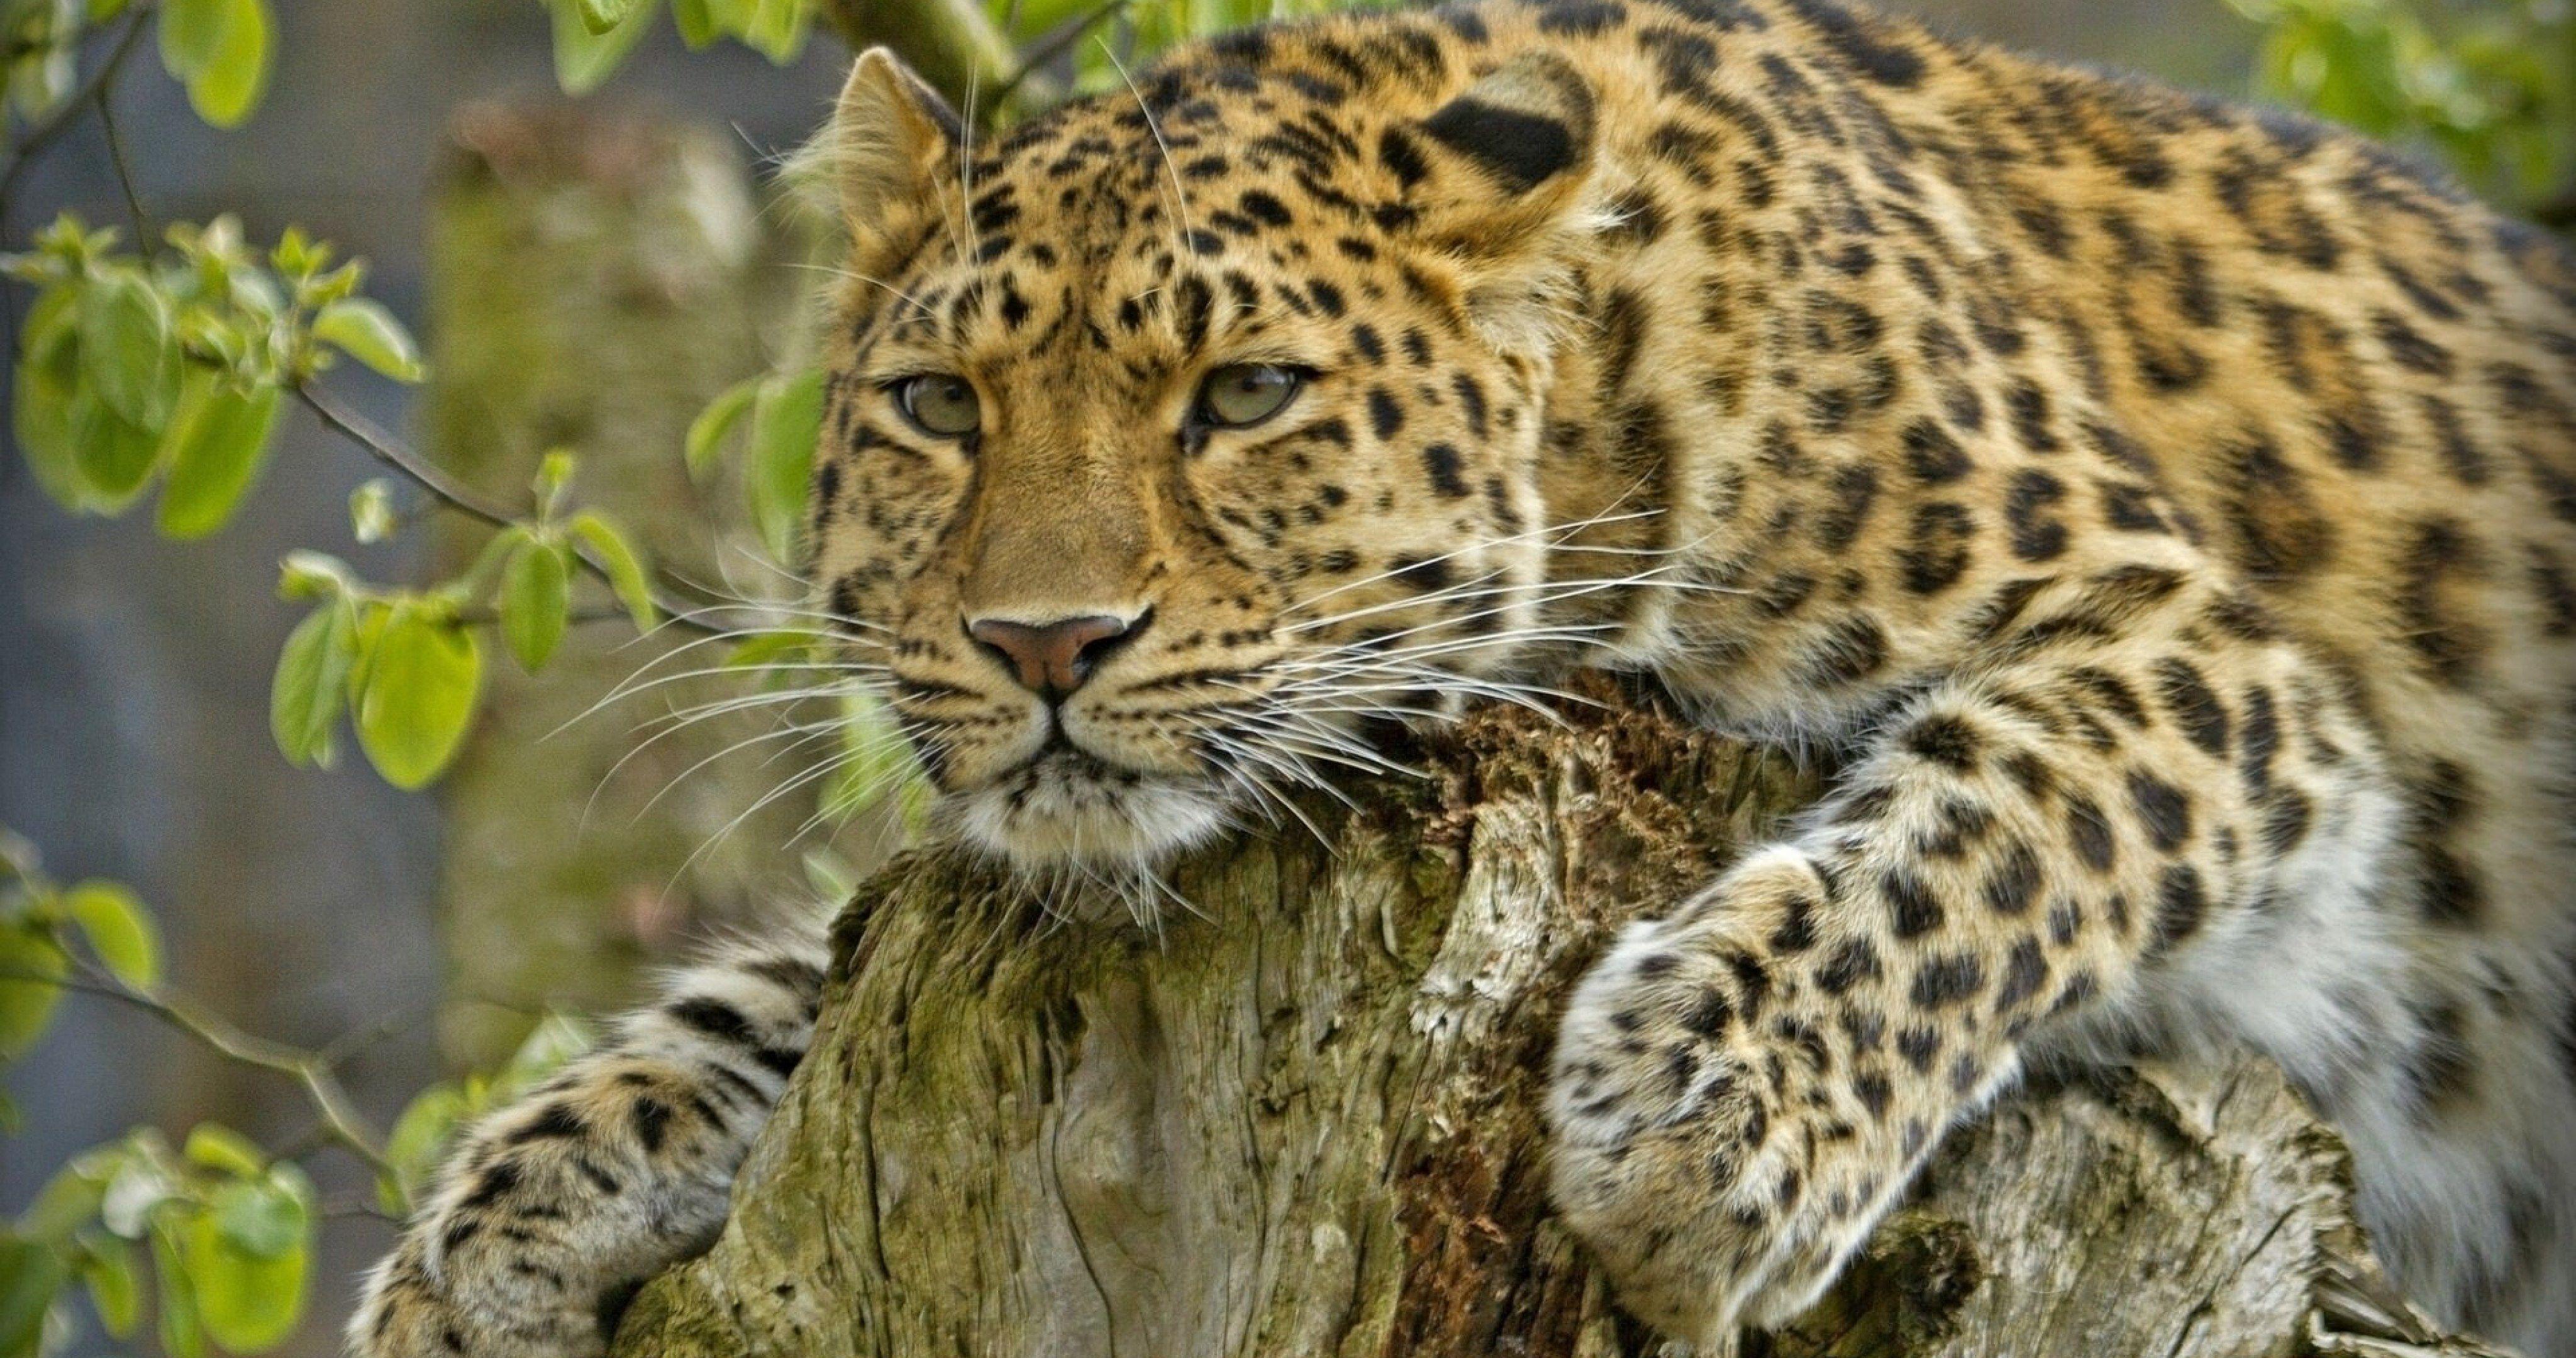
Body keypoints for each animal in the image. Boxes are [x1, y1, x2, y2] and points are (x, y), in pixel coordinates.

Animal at [349, 0, 2576, 1353]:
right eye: (939, 406)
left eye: (1244, 397)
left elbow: (1988, 843)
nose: (1043, 643)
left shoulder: (2202, 659)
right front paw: (497, 1224)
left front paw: (1707, 1119)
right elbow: (789, 977)